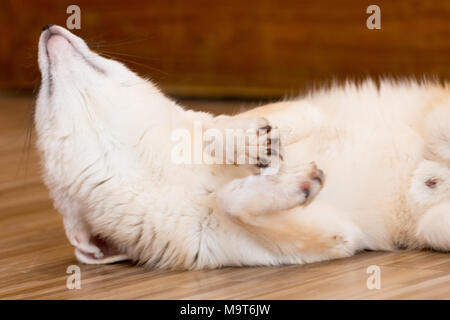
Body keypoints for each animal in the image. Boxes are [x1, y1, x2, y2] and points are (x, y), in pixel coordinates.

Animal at [35, 25, 450, 268]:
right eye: (45, 91)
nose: (47, 28)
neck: (170, 170)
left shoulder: (308, 110)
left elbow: (216, 134)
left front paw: (243, 143)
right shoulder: (337, 235)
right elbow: (229, 199)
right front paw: (290, 184)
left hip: (437, 126)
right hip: (434, 228)